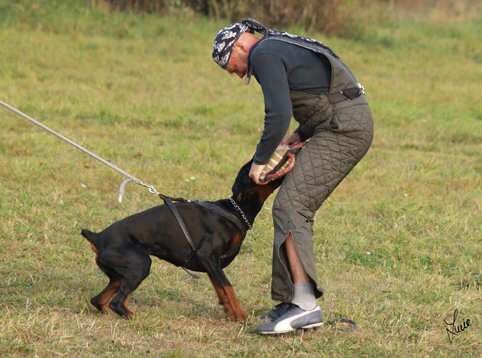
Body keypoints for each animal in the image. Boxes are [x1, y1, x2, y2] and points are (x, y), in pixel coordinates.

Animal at [80, 160, 280, 322]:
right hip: (140, 265)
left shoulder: (211, 263)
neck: (235, 210)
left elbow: (221, 289)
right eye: (249, 170)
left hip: (120, 274)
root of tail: (98, 236)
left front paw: (231, 313)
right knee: (118, 302)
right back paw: (130, 315)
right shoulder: (208, 255)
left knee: (98, 300)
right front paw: (240, 315)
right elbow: (227, 286)